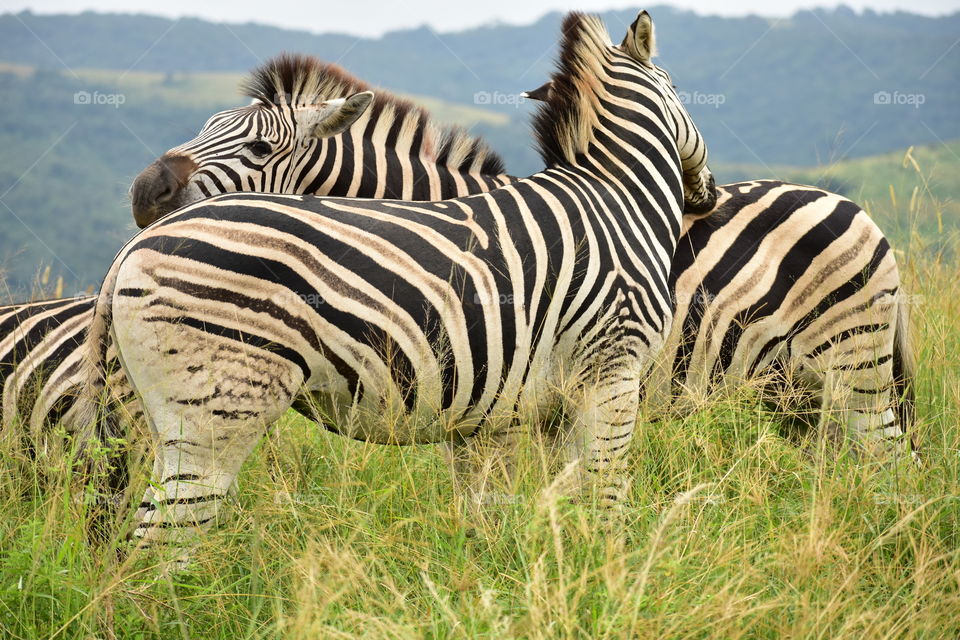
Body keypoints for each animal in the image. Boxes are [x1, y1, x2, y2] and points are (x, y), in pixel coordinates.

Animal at [72, 9, 716, 554]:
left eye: (257, 145)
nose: (143, 193)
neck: (616, 197)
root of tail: (132, 249)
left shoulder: (510, 409)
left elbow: (519, 508)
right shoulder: (610, 371)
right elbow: (604, 498)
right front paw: (606, 576)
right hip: (217, 413)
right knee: (162, 543)